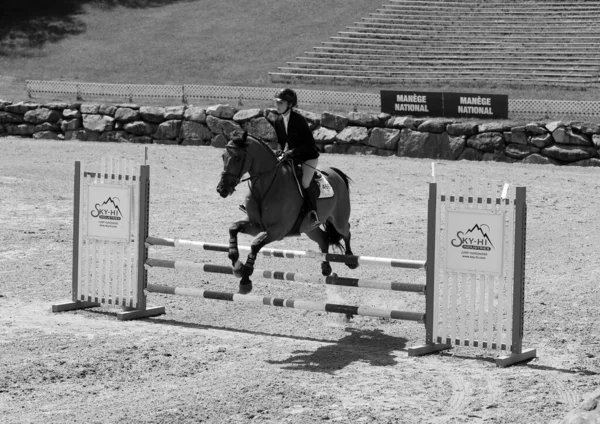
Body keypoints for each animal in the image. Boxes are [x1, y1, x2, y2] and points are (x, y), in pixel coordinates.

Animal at [216, 131, 356, 294]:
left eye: (238, 158)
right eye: (223, 156)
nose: (221, 189)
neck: (265, 187)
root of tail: (335, 172)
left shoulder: (278, 231)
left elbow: (255, 245)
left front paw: (245, 279)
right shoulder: (256, 225)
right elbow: (233, 228)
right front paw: (237, 266)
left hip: (339, 218)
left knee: (346, 231)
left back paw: (350, 260)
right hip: (309, 227)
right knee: (323, 239)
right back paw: (326, 268)